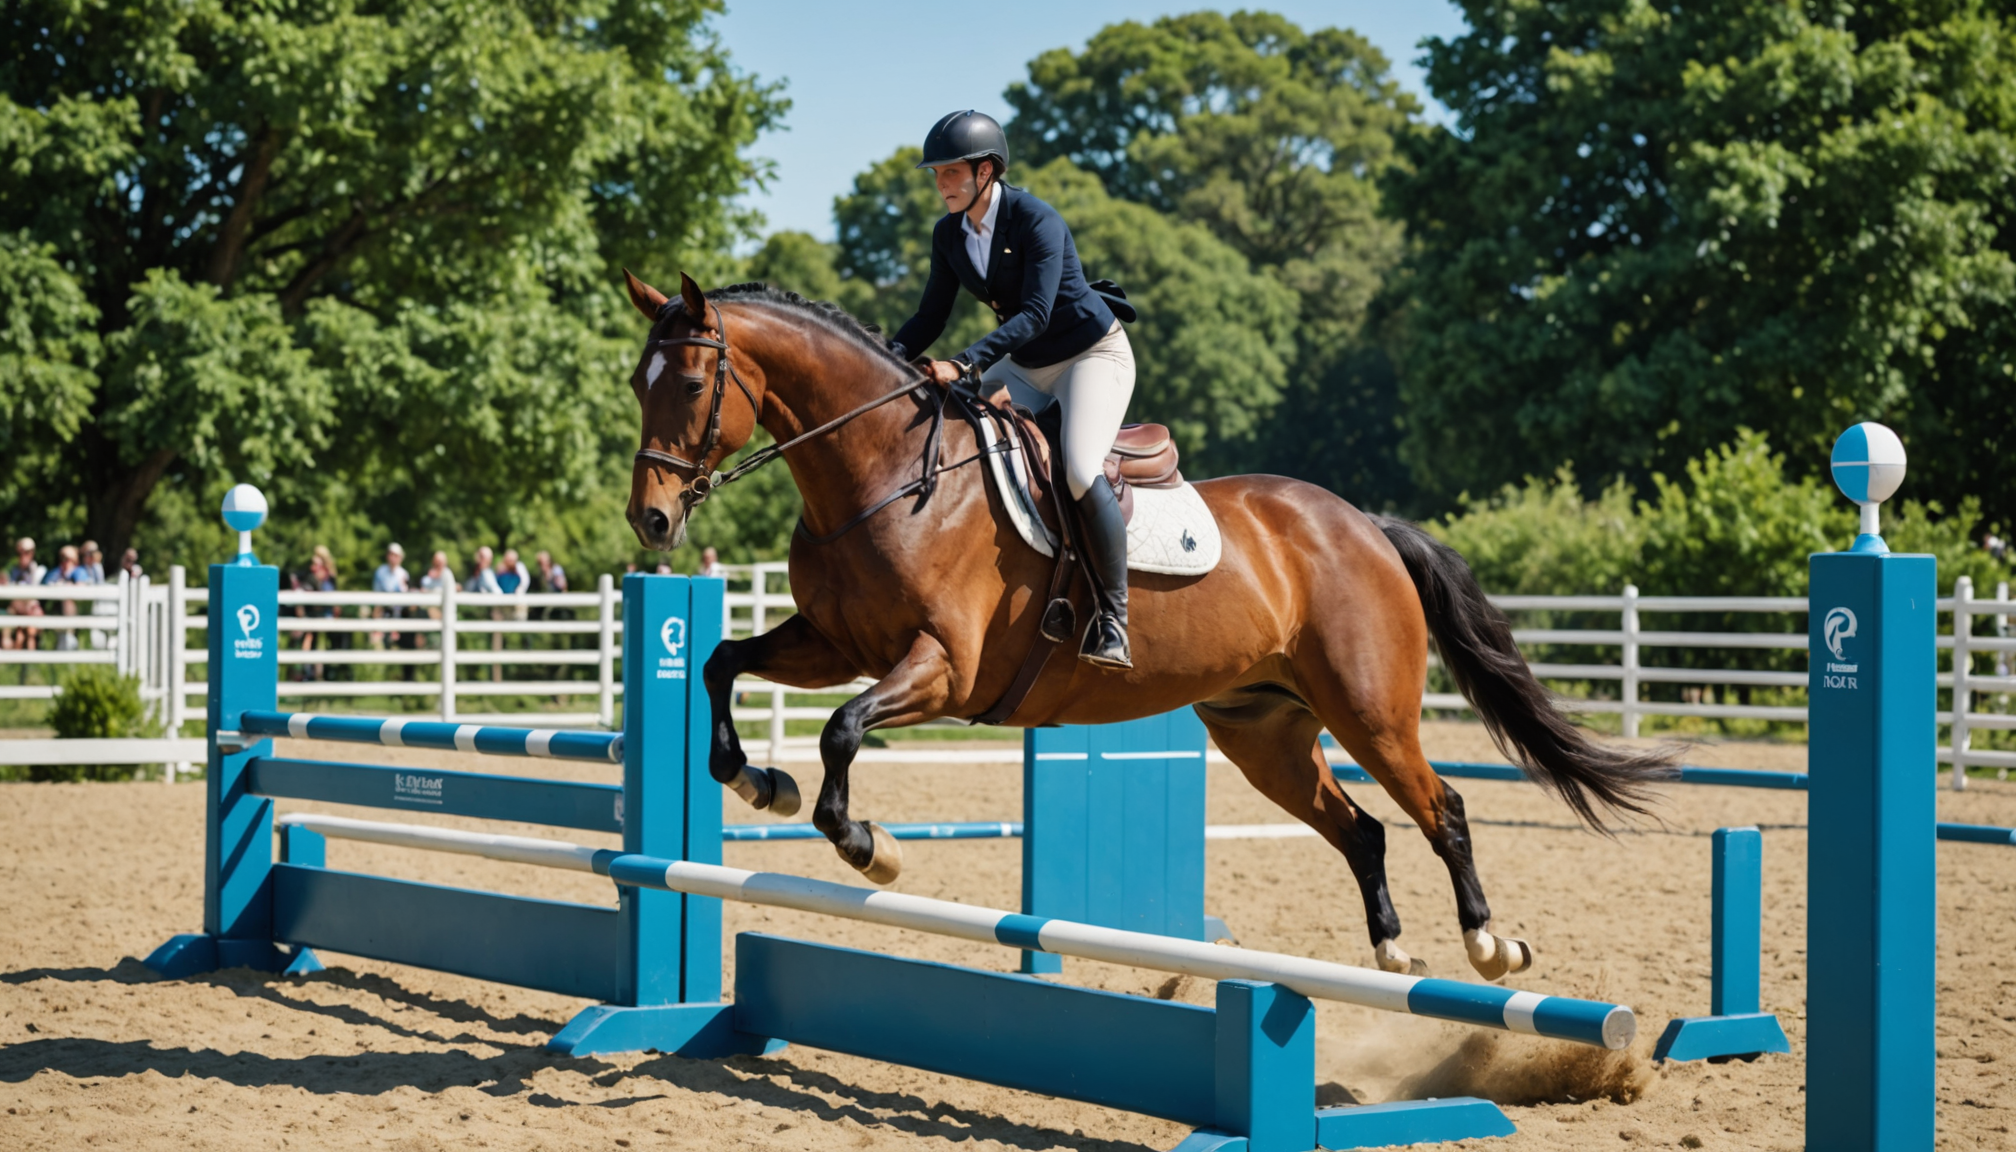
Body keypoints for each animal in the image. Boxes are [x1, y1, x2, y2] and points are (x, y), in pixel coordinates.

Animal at [620, 271, 1671, 981]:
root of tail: (1365, 525)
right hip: (1264, 731)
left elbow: (842, 730)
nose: (652, 523)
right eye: (639, 381)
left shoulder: (942, 668)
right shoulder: (838, 643)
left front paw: (868, 845)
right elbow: (721, 663)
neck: (880, 470)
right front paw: (757, 780)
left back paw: (1489, 946)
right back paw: (1392, 956)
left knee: (1442, 809)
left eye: (689, 385)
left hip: (1371, 711)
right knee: (1364, 831)